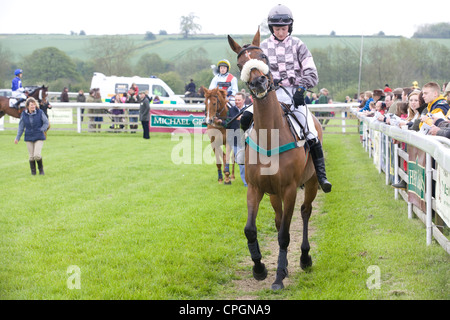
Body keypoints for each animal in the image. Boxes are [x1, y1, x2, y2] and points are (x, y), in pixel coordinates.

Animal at [230, 30, 322, 290]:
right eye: (240, 64)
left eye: (263, 56)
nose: (258, 82)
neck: (271, 136)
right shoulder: (255, 187)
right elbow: (250, 229)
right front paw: (259, 268)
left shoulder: (290, 189)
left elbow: (284, 235)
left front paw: (279, 275)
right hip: (273, 193)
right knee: (279, 218)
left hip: (311, 183)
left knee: (305, 212)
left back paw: (304, 258)